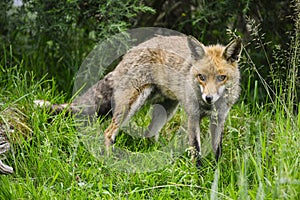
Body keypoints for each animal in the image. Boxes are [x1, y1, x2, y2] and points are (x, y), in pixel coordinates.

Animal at [35, 34, 243, 167]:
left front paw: (215, 174)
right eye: (201, 77)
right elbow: (197, 150)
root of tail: (130, 52)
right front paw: (198, 177)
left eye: (221, 78)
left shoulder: (219, 118)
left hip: (167, 109)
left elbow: (217, 151)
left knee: (150, 133)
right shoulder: (193, 117)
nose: (208, 98)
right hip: (131, 104)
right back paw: (109, 162)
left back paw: (159, 154)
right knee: (109, 133)